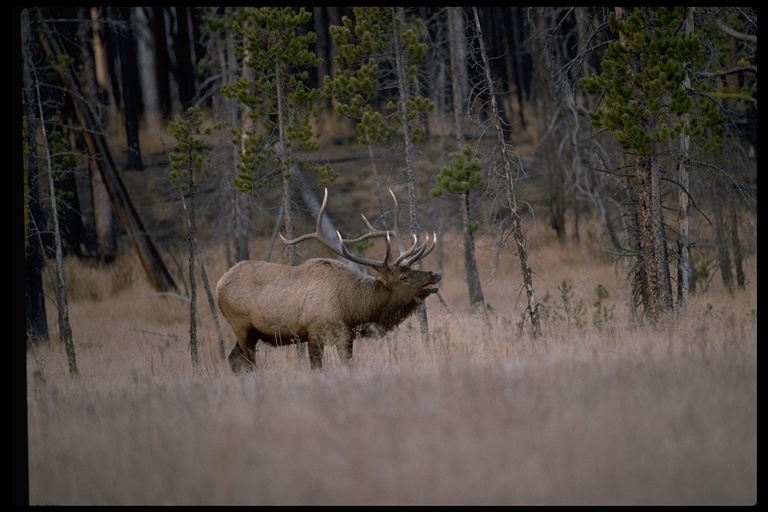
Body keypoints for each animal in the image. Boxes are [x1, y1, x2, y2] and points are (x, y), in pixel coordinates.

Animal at [216, 188, 444, 372]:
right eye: (403, 277)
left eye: (412, 268)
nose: (435, 274)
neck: (353, 308)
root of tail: (219, 284)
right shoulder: (315, 332)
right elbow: (317, 368)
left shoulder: (346, 336)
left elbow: (348, 364)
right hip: (241, 325)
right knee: (247, 361)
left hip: (251, 333)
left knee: (233, 358)